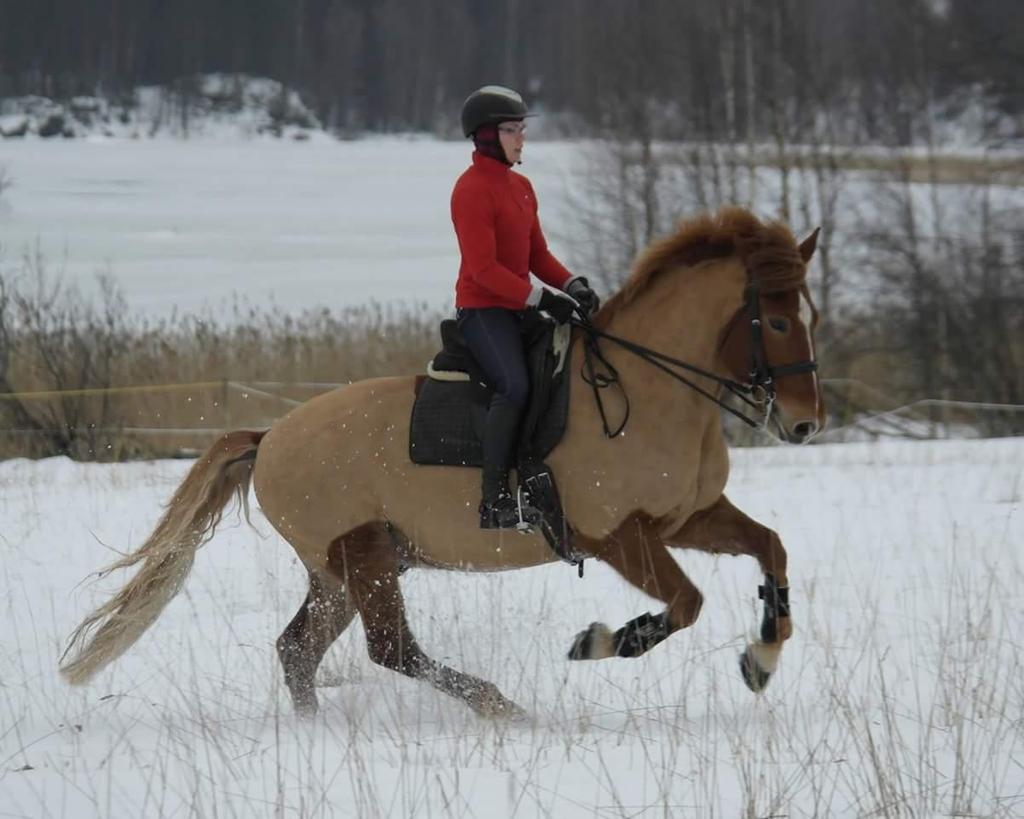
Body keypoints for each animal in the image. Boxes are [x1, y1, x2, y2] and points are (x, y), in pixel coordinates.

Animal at [58, 206, 823, 716]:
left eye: (808, 315)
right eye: (779, 320)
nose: (804, 422)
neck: (646, 388)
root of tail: (270, 436)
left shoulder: (688, 518)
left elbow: (773, 548)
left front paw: (763, 657)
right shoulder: (620, 536)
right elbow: (687, 602)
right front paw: (604, 640)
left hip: (346, 569)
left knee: (299, 649)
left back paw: (316, 727)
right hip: (362, 554)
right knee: (390, 649)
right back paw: (500, 707)